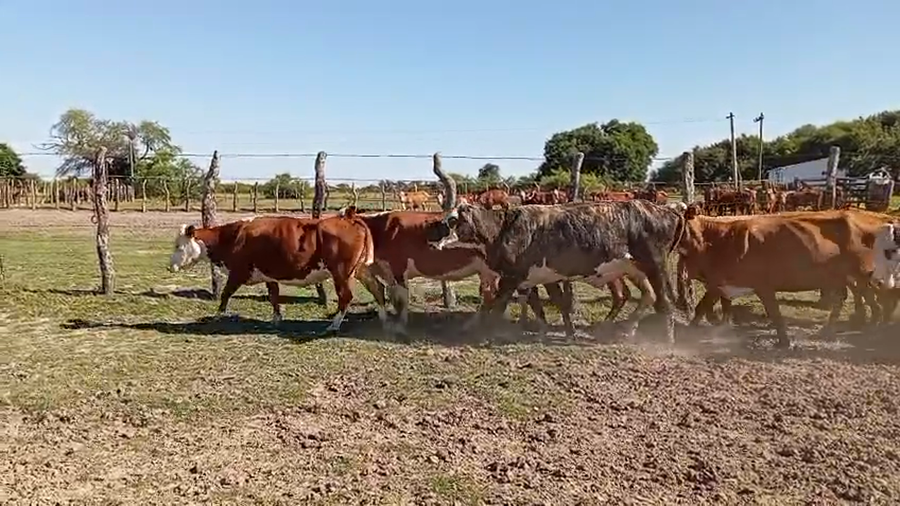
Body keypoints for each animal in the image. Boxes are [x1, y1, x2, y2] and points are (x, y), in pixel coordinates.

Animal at [167, 208, 388, 334]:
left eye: (178, 245)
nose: (169, 266)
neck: (234, 237)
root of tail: (348, 218)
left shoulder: (238, 273)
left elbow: (225, 294)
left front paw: (218, 315)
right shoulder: (269, 275)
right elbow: (274, 297)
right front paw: (276, 319)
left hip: (341, 272)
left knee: (346, 296)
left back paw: (333, 325)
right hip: (361, 270)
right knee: (378, 288)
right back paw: (384, 317)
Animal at [424, 201, 686, 342]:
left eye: (453, 220)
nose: (432, 240)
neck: (504, 229)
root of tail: (666, 210)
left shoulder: (511, 278)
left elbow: (497, 306)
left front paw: (485, 333)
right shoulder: (534, 278)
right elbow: (547, 305)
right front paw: (556, 332)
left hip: (656, 266)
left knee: (663, 303)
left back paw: (668, 340)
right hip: (635, 269)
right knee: (647, 296)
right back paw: (625, 330)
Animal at [675, 206, 894, 347]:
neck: (719, 240)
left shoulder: (761, 284)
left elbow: (774, 312)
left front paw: (784, 342)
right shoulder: (720, 283)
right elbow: (703, 307)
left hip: (860, 274)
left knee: (872, 301)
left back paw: (868, 327)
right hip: (845, 277)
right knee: (849, 300)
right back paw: (834, 330)